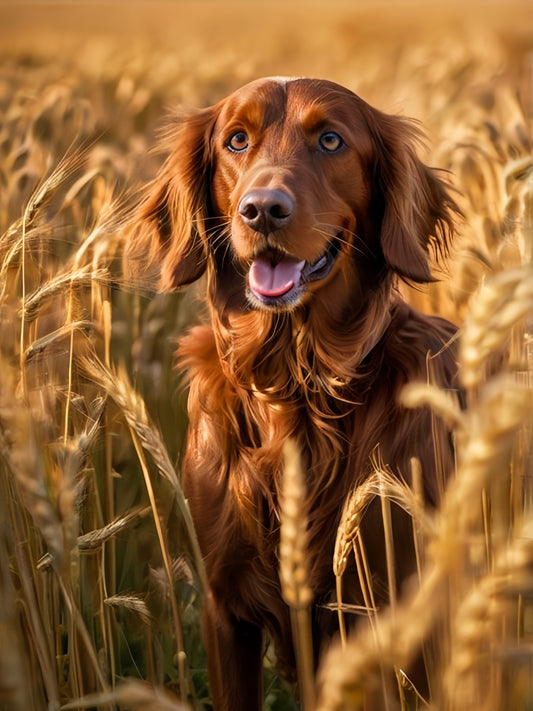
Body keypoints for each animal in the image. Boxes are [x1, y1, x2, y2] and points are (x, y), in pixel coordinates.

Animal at [123, 78, 458, 711]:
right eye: (236, 140)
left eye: (330, 140)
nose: (262, 210)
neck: (295, 386)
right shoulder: (225, 609)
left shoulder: (388, 615)